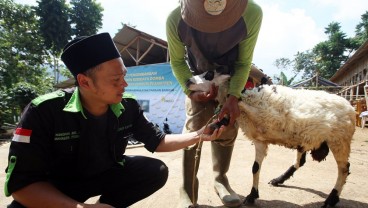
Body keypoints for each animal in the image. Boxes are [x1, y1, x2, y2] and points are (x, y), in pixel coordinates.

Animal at [188, 70, 356, 207]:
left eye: (209, 74)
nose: (188, 81)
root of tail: (350, 106)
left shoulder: (270, 114)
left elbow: (239, 102)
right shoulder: (260, 140)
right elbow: (255, 167)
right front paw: (252, 196)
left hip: (339, 140)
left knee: (344, 169)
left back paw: (331, 199)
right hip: (308, 139)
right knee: (301, 162)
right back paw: (278, 180)